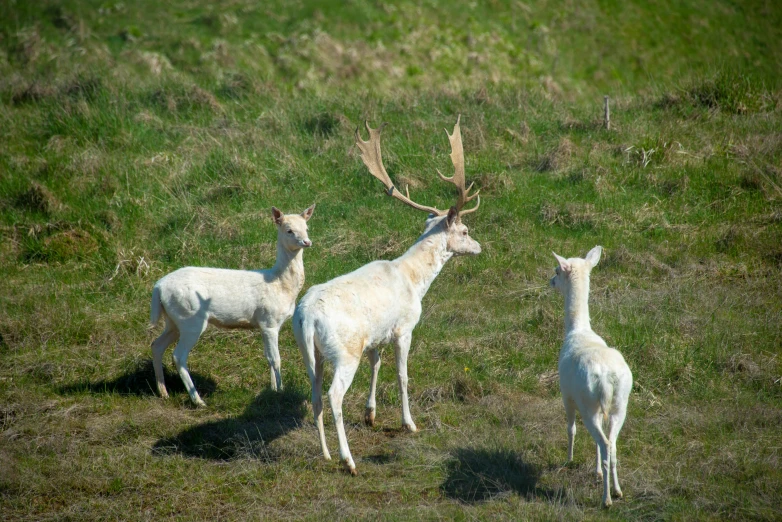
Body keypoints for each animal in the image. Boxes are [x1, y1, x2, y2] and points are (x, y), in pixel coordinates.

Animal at [151, 205, 316, 404]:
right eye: (289, 230)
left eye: (306, 227)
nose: (307, 242)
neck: (282, 286)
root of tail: (158, 287)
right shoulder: (269, 320)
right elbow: (276, 359)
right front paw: (281, 391)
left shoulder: (263, 324)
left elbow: (268, 357)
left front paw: (273, 390)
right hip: (190, 318)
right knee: (178, 355)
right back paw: (198, 400)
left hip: (173, 320)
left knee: (156, 345)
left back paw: (163, 392)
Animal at [296, 116, 484, 474]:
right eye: (466, 231)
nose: (480, 247)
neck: (414, 280)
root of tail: (307, 317)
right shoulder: (404, 328)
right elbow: (402, 375)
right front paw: (409, 423)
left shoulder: (376, 336)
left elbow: (377, 365)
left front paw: (370, 415)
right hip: (344, 351)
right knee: (333, 396)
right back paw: (348, 460)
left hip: (309, 352)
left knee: (314, 394)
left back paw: (325, 454)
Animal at [552, 246, 636, 506]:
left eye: (557, 270)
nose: (551, 281)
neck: (578, 331)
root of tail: (608, 379)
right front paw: (597, 472)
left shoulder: (566, 395)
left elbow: (570, 428)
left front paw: (569, 459)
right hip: (619, 405)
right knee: (612, 445)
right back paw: (618, 491)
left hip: (588, 405)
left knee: (605, 442)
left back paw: (606, 499)